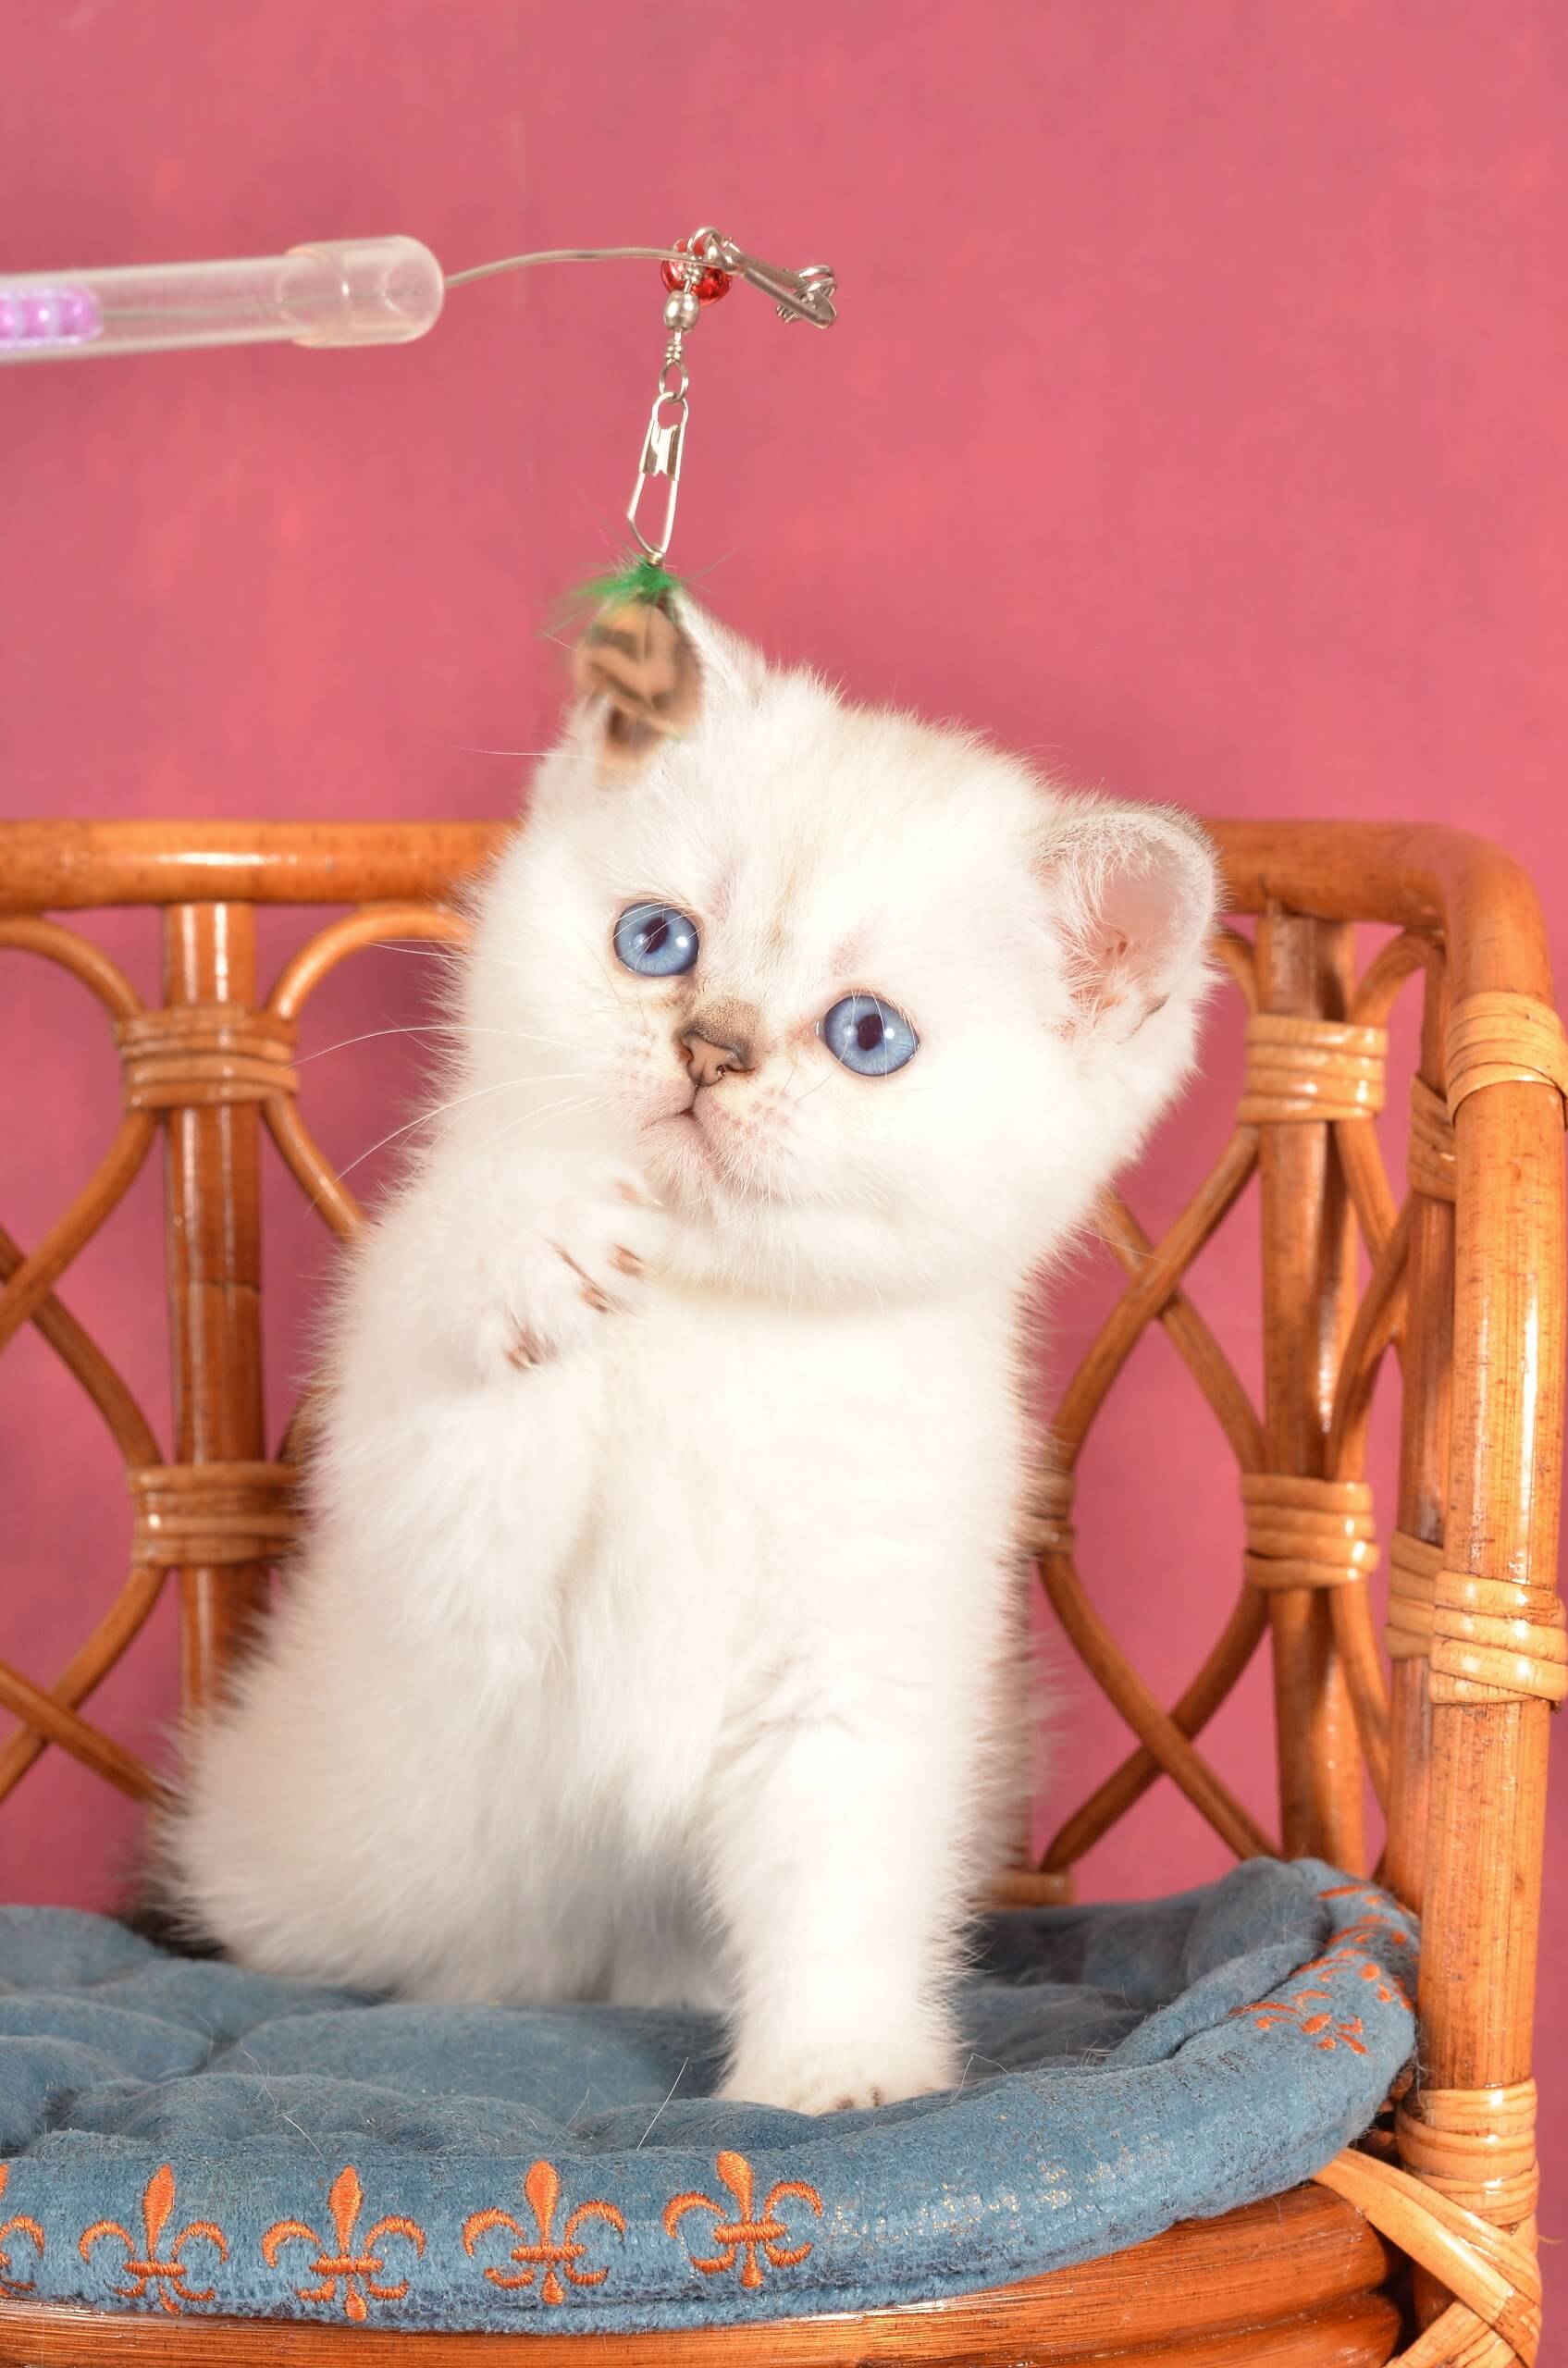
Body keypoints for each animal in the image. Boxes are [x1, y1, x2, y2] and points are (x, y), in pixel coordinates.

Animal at [160, 598, 1217, 2115]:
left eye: (867, 1035)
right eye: (656, 940)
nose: (712, 1048)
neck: (715, 1312)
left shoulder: (865, 1647)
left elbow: (842, 1872)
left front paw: (839, 2071)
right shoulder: (443, 1559)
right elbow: (462, 1398)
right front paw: (532, 1236)